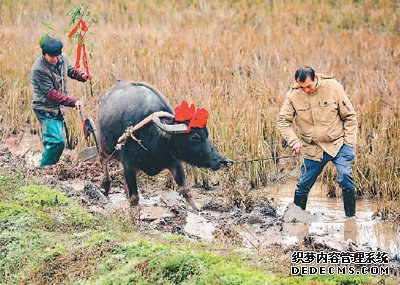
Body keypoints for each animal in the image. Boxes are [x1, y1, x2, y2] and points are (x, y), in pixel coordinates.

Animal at [95, 80, 231, 209]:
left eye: (207, 134)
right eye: (194, 137)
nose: (222, 161)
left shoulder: (174, 161)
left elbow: (185, 190)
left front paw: (196, 210)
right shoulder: (129, 165)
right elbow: (135, 198)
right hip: (104, 147)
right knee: (103, 160)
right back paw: (105, 185)